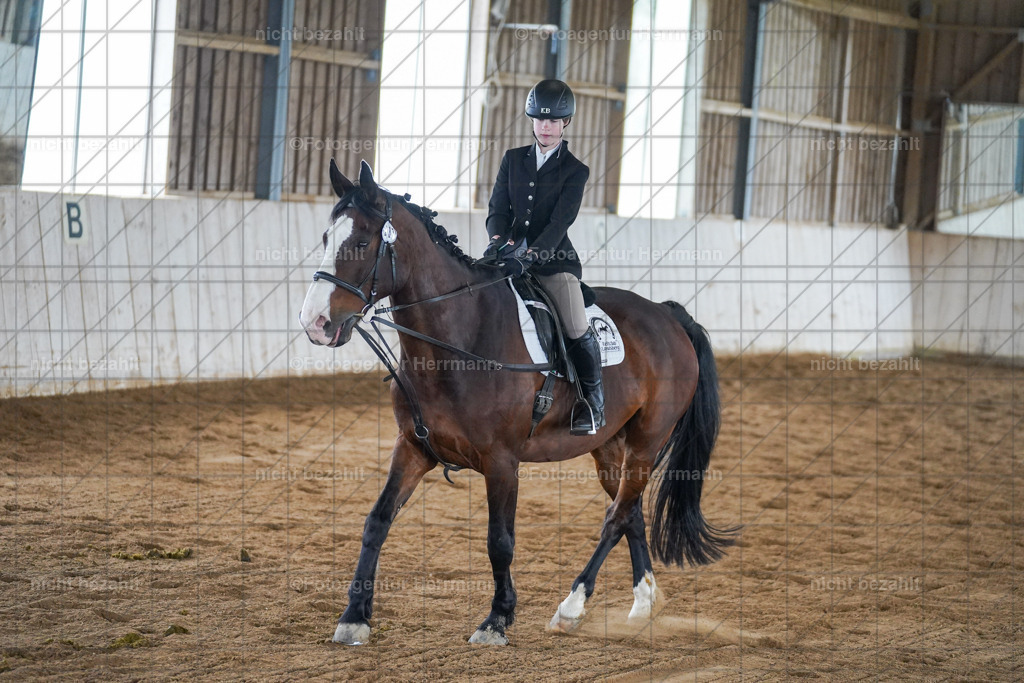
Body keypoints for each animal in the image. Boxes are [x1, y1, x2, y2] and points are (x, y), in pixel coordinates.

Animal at [298, 160, 735, 646]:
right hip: (609, 445)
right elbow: (376, 521)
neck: (459, 338)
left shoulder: (502, 460)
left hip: (647, 440)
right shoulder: (412, 448)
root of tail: (668, 314)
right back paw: (643, 604)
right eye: (325, 238)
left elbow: (499, 541)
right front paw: (354, 617)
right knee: (630, 513)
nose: (314, 323)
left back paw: (571, 607)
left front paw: (496, 619)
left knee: (616, 516)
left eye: (360, 242)